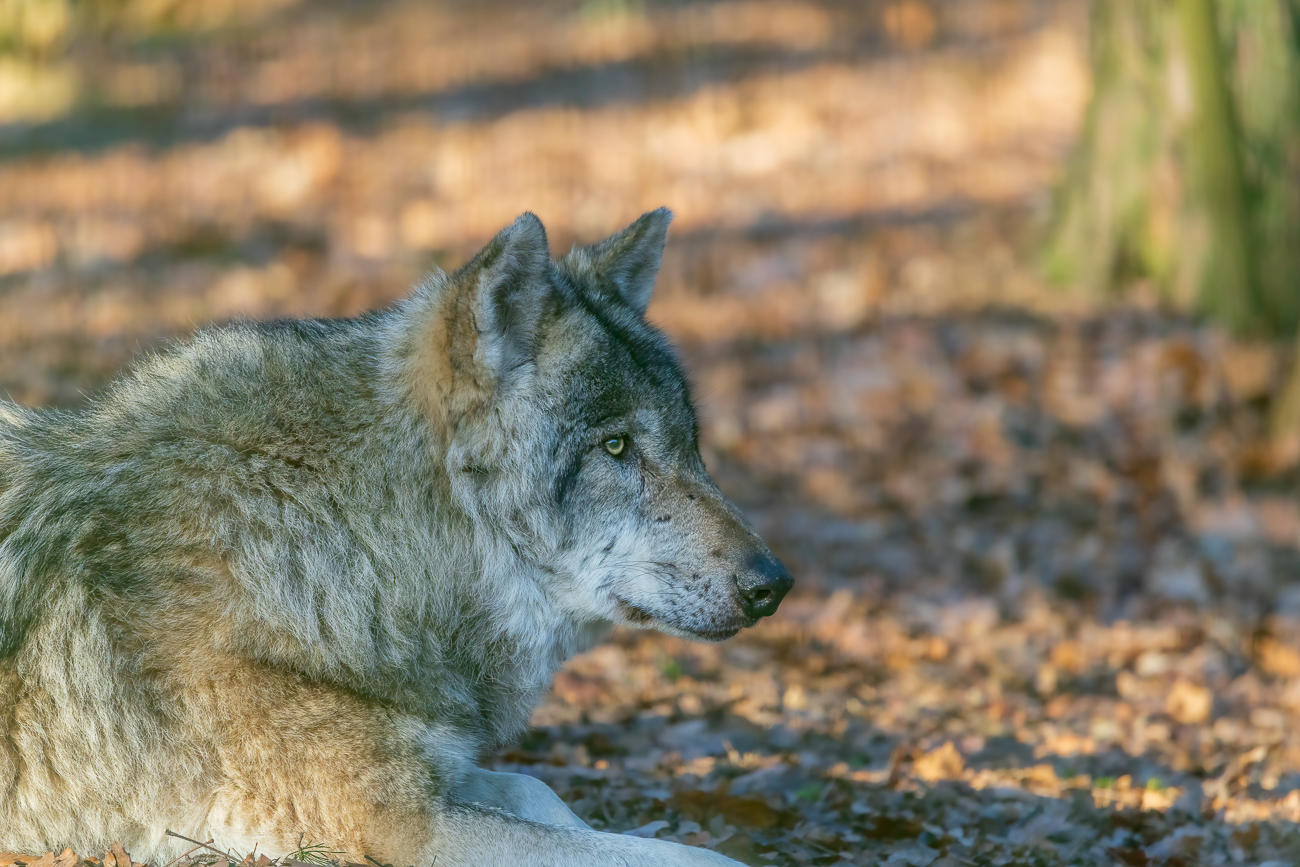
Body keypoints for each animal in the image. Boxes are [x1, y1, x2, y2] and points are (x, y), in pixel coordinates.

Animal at [0, 209, 793, 866]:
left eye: (690, 445)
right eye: (617, 445)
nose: (775, 584)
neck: (348, 533)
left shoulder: (436, 775)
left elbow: (540, 790)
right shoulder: (400, 823)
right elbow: (688, 858)